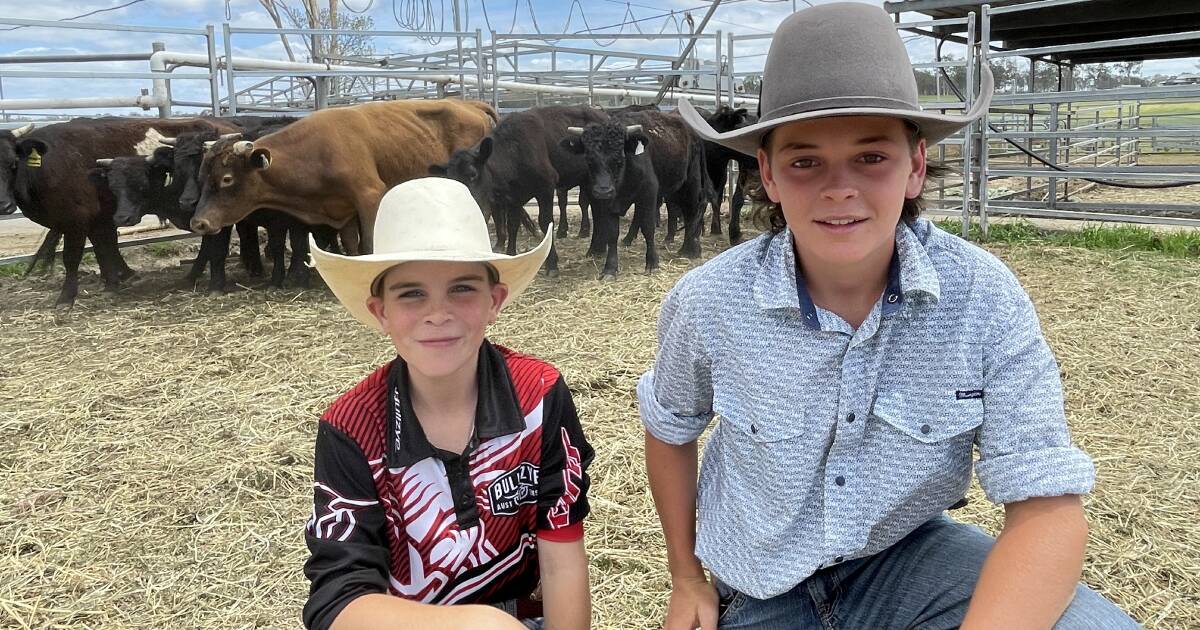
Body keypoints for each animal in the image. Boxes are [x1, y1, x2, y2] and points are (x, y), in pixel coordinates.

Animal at [190, 98, 496, 250]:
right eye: (201, 177)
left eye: (226, 179)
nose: (199, 223)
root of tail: (468, 104)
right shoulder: (343, 209)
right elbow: (351, 243)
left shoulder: (370, 196)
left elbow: (369, 240)